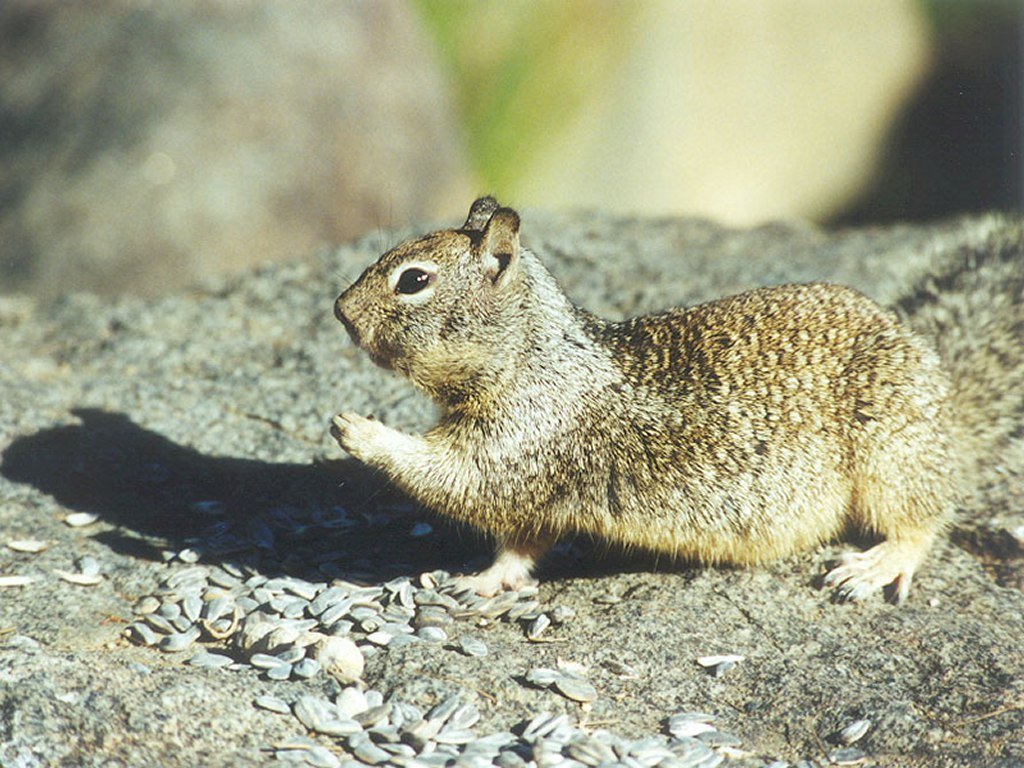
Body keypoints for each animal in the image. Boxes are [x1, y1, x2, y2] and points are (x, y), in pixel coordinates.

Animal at [331, 199, 1019, 606]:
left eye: (414, 280)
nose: (339, 310)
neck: (533, 354)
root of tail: (944, 396)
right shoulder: (533, 487)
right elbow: (520, 547)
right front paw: (483, 580)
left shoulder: (521, 443)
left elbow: (454, 478)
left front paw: (359, 429)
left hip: (892, 452)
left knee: (923, 520)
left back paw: (875, 565)